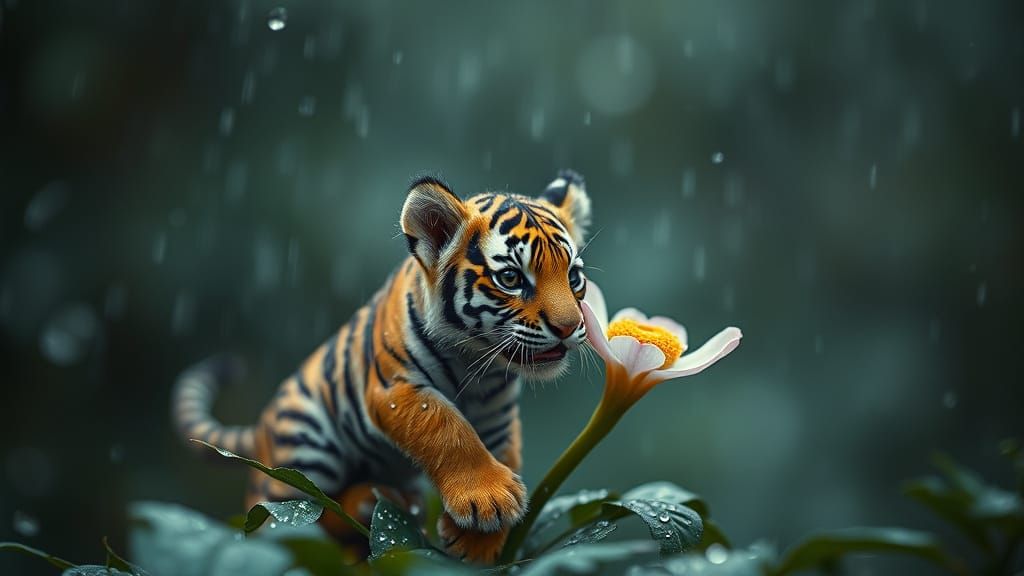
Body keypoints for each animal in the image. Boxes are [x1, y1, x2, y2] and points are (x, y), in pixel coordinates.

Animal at [171, 170, 593, 563]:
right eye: (510, 278)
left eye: (573, 276)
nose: (569, 326)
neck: (477, 361)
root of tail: (261, 427)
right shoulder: (396, 389)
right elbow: (447, 428)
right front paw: (490, 501)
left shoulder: (497, 415)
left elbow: (504, 454)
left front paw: (480, 539)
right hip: (304, 449)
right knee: (296, 514)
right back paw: (366, 502)